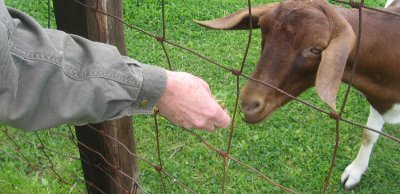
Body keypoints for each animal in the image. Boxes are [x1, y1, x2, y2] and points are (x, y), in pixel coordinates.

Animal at [196, 0, 400, 190]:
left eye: (316, 49)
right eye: (262, 29)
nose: (249, 105)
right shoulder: (379, 103)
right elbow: (368, 135)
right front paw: (355, 172)